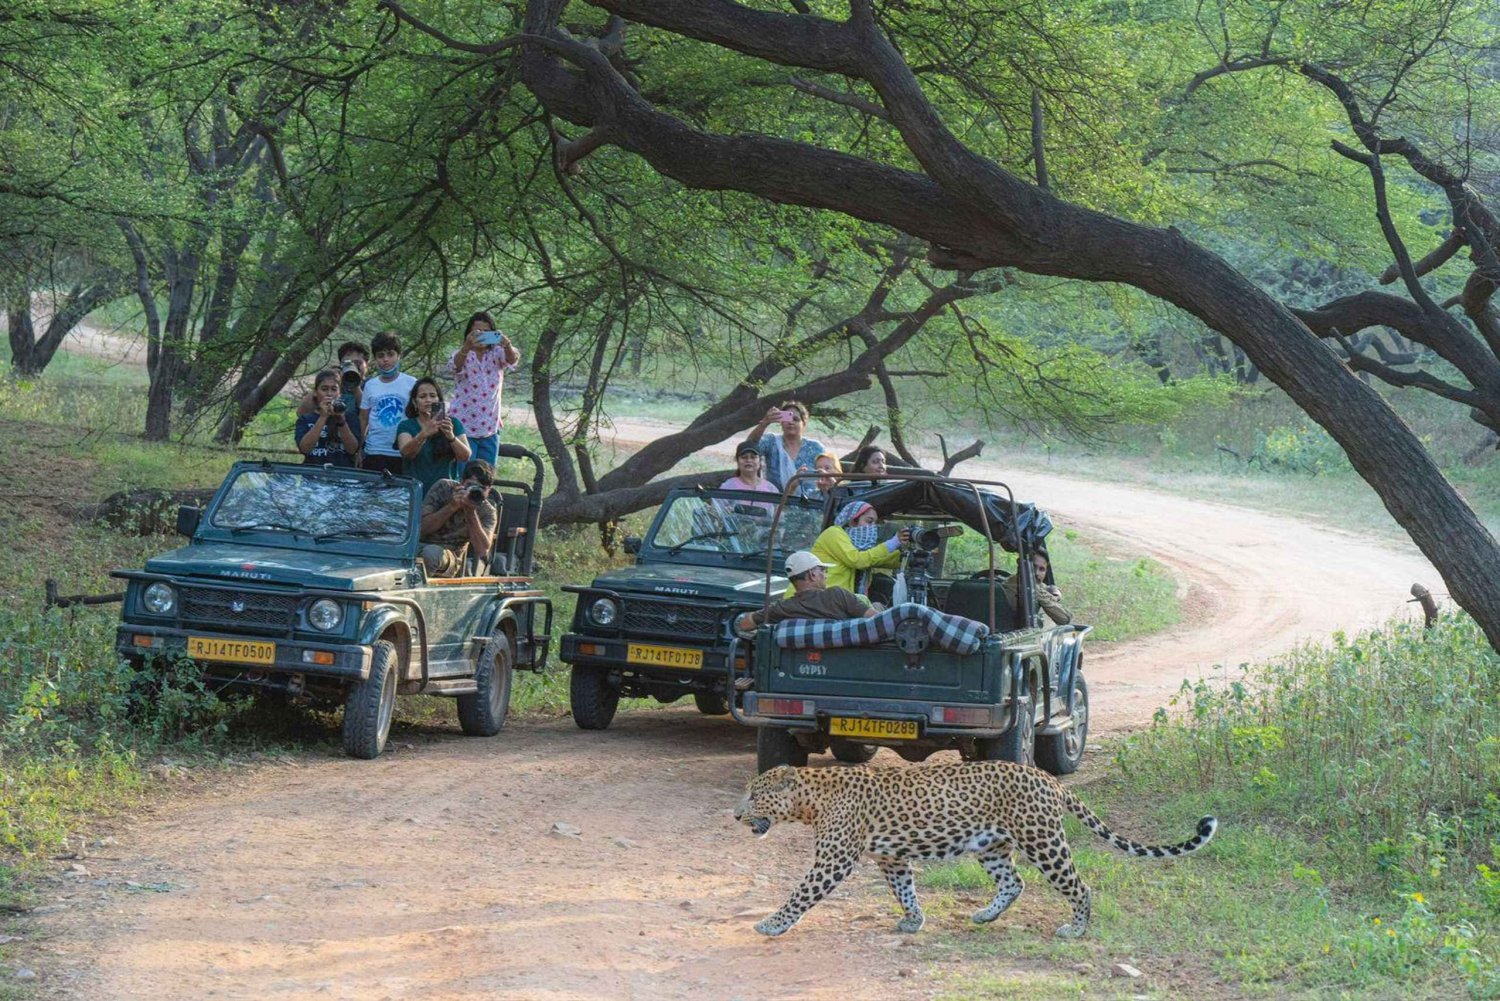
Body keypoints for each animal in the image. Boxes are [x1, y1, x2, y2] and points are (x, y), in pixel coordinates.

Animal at [734, 760, 1217, 939]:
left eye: (754, 796)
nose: (736, 815)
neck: (811, 800)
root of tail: (1049, 778)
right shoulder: (892, 858)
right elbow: (905, 890)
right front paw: (914, 921)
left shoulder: (833, 861)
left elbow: (800, 894)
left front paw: (771, 924)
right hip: (992, 846)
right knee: (1014, 882)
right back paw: (986, 915)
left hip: (1043, 841)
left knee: (1080, 886)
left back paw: (1075, 929)